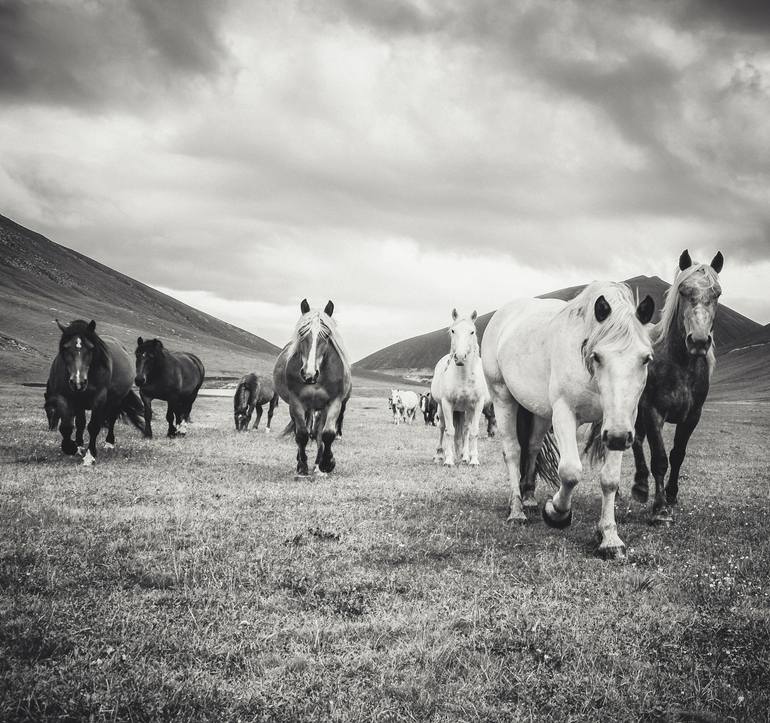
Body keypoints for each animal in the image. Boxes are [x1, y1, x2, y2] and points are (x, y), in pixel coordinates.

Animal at [50, 320, 146, 466]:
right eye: (66, 348)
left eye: (90, 348)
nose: (78, 382)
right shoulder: (64, 397)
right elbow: (67, 427)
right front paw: (73, 447)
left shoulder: (99, 398)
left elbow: (93, 426)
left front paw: (90, 456)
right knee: (81, 423)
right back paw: (80, 445)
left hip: (115, 402)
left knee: (111, 420)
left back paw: (109, 443)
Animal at [272, 296, 352, 478]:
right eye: (302, 333)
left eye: (326, 334)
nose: (309, 374)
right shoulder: (296, 403)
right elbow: (301, 435)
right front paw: (302, 466)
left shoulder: (334, 402)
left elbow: (327, 434)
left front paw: (327, 463)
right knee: (301, 431)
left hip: (320, 409)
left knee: (318, 433)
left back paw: (317, 465)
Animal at [428, 308, 488, 466]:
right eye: (453, 331)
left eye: (472, 332)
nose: (460, 357)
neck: (463, 377)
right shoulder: (447, 403)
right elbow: (450, 431)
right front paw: (449, 460)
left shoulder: (477, 404)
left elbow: (473, 431)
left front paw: (473, 459)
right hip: (441, 408)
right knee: (442, 427)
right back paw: (439, 455)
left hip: (466, 410)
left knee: (466, 430)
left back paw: (465, 456)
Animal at [480, 282, 648, 560]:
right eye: (597, 356)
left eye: (646, 359)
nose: (617, 438)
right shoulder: (565, 413)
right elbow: (569, 472)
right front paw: (556, 512)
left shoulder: (621, 421)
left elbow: (610, 479)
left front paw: (610, 538)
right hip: (502, 396)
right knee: (513, 451)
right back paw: (517, 510)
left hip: (540, 411)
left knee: (533, 447)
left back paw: (528, 497)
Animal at [628, 252, 724, 524]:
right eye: (683, 290)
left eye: (717, 293)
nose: (699, 341)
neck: (680, 365)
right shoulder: (652, 412)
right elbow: (660, 459)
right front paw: (660, 509)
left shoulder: (692, 416)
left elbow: (677, 455)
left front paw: (671, 496)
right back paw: (638, 488)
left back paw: (641, 485)